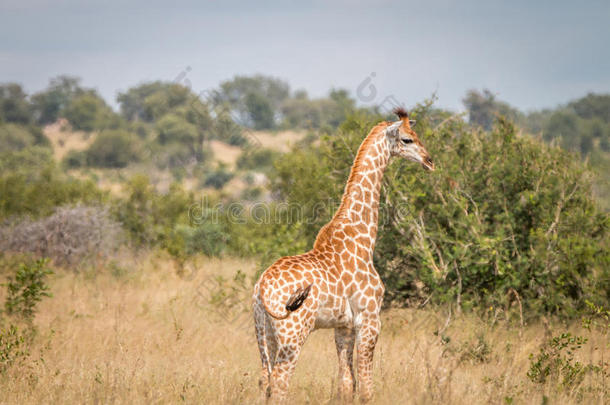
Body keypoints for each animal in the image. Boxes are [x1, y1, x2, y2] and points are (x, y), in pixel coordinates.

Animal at [252, 106, 432, 400]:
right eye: (407, 139)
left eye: (417, 135)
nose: (429, 161)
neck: (364, 239)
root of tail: (261, 289)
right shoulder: (369, 319)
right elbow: (367, 387)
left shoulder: (343, 326)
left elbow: (346, 383)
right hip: (293, 333)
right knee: (279, 382)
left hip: (263, 333)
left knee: (264, 380)